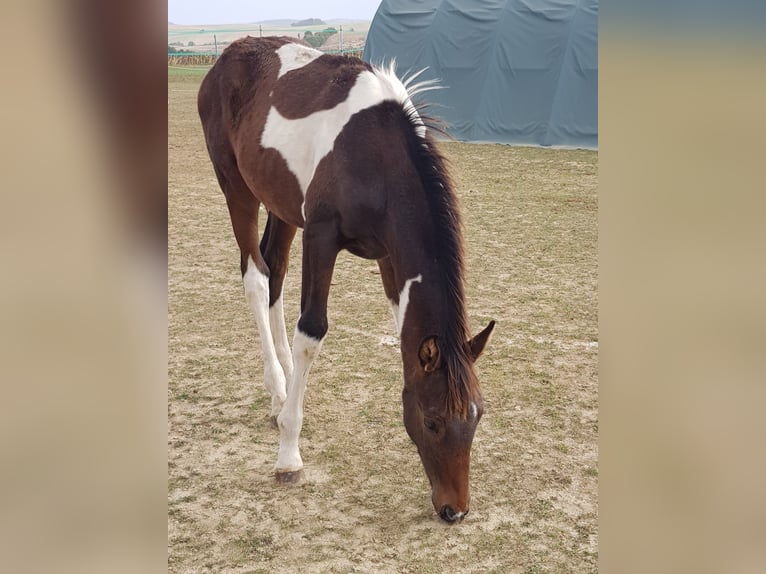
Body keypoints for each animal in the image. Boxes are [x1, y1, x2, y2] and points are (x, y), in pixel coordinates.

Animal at [198, 36, 494, 523]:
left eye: (477, 415)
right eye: (432, 420)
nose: (455, 510)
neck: (373, 153)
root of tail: (230, 54)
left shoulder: (390, 257)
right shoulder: (321, 237)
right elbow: (312, 331)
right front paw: (289, 455)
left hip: (281, 205)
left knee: (275, 271)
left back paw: (284, 393)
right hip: (236, 189)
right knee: (257, 278)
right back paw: (279, 391)